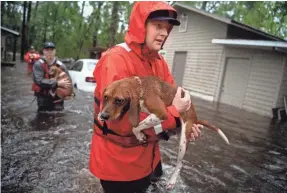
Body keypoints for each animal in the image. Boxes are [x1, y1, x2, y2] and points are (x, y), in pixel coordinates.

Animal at [98, 76, 231, 190]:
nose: (102, 116)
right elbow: (137, 126)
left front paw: (140, 135)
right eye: (105, 97)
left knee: (180, 164)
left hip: (183, 141)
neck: (141, 87)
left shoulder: (162, 113)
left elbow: (135, 127)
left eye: (119, 100)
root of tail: (195, 117)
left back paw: (172, 180)